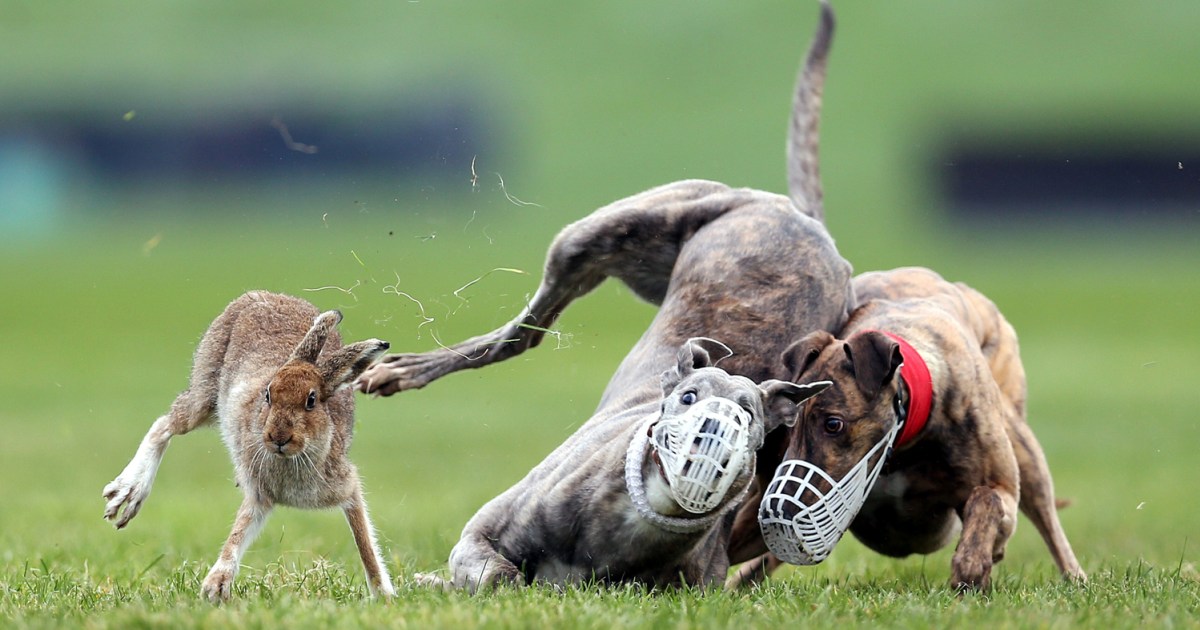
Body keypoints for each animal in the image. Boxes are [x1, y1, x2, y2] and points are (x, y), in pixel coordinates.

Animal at [101, 290, 394, 603]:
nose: (277, 437)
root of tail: (259, 295)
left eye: (311, 400)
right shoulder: (258, 492)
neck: (293, 457)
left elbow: (364, 540)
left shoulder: (346, 487)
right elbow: (239, 531)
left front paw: (384, 595)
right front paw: (215, 587)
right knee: (164, 425)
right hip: (205, 394)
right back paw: (129, 492)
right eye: (268, 394)